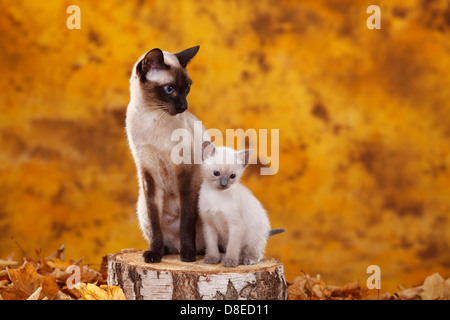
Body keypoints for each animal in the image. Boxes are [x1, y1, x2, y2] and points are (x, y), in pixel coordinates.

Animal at [125, 47, 208, 262]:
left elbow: (186, 221)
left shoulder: (185, 174)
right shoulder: (147, 174)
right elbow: (155, 223)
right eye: (169, 89)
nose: (184, 107)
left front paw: (188, 255)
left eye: (187, 89)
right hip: (141, 205)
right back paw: (166, 250)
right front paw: (154, 253)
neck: (152, 116)